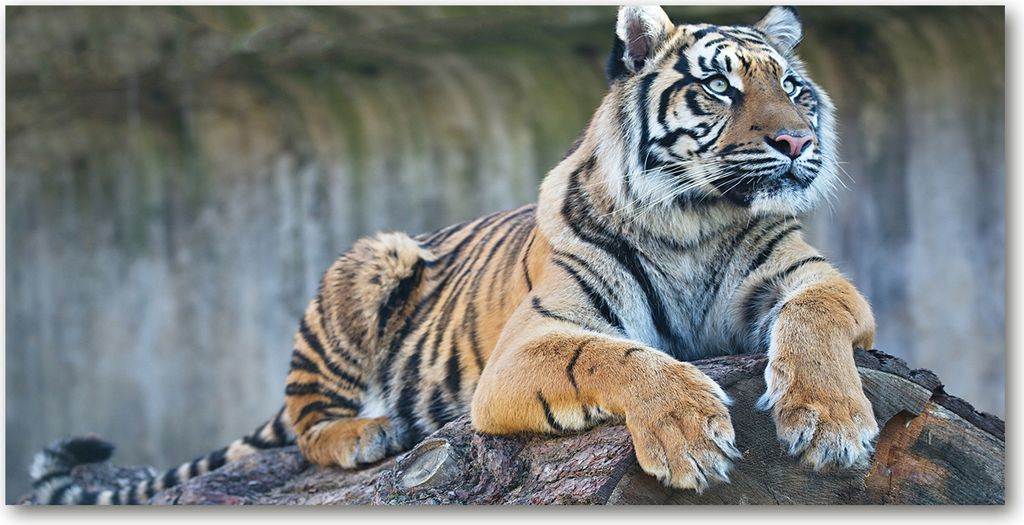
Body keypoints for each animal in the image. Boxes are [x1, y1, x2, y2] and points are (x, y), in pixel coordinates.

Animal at [30, 5, 879, 504]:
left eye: (794, 89)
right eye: (720, 90)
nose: (797, 142)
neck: (694, 222)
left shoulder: (812, 278)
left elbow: (816, 318)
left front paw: (831, 421)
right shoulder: (533, 341)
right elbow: (620, 357)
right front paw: (687, 432)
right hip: (370, 259)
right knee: (306, 419)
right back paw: (367, 433)